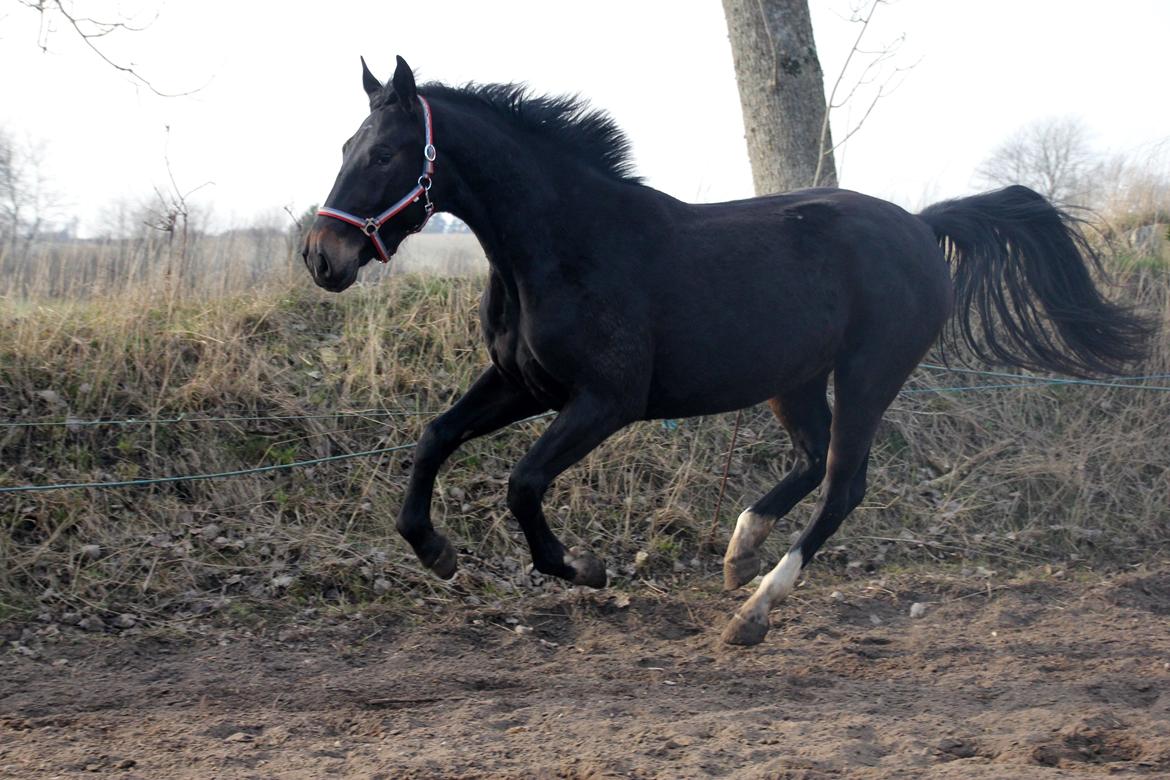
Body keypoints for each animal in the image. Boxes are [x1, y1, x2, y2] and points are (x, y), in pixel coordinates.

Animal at [304, 57, 1151, 645]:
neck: (561, 245)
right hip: (794, 380)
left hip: (869, 375)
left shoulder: (605, 401)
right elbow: (434, 437)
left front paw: (584, 569)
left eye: (383, 154)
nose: (321, 257)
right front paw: (436, 552)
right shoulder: (524, 383)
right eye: (345, 144)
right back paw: (741, 550)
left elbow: (521, 483)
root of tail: (919, 223)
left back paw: (754, 611)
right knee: (813, 462)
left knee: (844, 485)